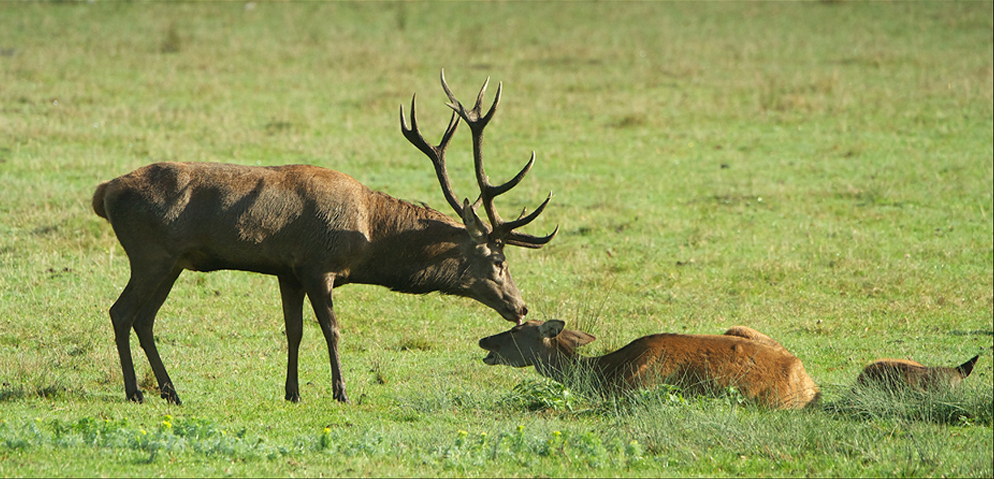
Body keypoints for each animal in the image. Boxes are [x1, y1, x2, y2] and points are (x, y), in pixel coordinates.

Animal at [92, 71, 556, 405]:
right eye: (499, 260)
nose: (520, 306)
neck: (369, 235)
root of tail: (104, 192)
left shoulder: (288, 272)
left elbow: (293, 330)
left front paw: (292, 392)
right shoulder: (318, 266)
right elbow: (331, 329)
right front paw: (341, 391)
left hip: (172, 263)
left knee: (145, 319)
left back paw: (171, 391)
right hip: (150, 254)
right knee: (121, 312)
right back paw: (135, 392)